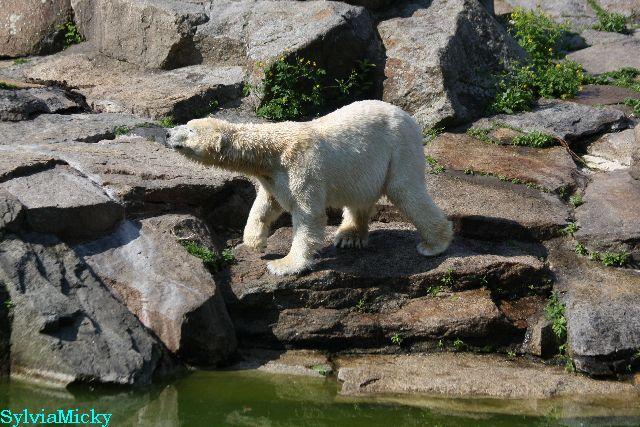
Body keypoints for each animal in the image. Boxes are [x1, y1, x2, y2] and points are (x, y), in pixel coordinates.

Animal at [166, 100, 453, 276]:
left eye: (189, 129)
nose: (167, 133)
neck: (272, 149)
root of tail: (408, 117)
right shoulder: (273, 177)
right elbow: (266, 204)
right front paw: (255, 241)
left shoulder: (303, 167)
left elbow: (308, 216)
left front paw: (283, 264)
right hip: (364, 166)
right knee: (360, 197)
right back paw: (349, 236)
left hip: (399, 148)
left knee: (406, 191)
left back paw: (434, 244)